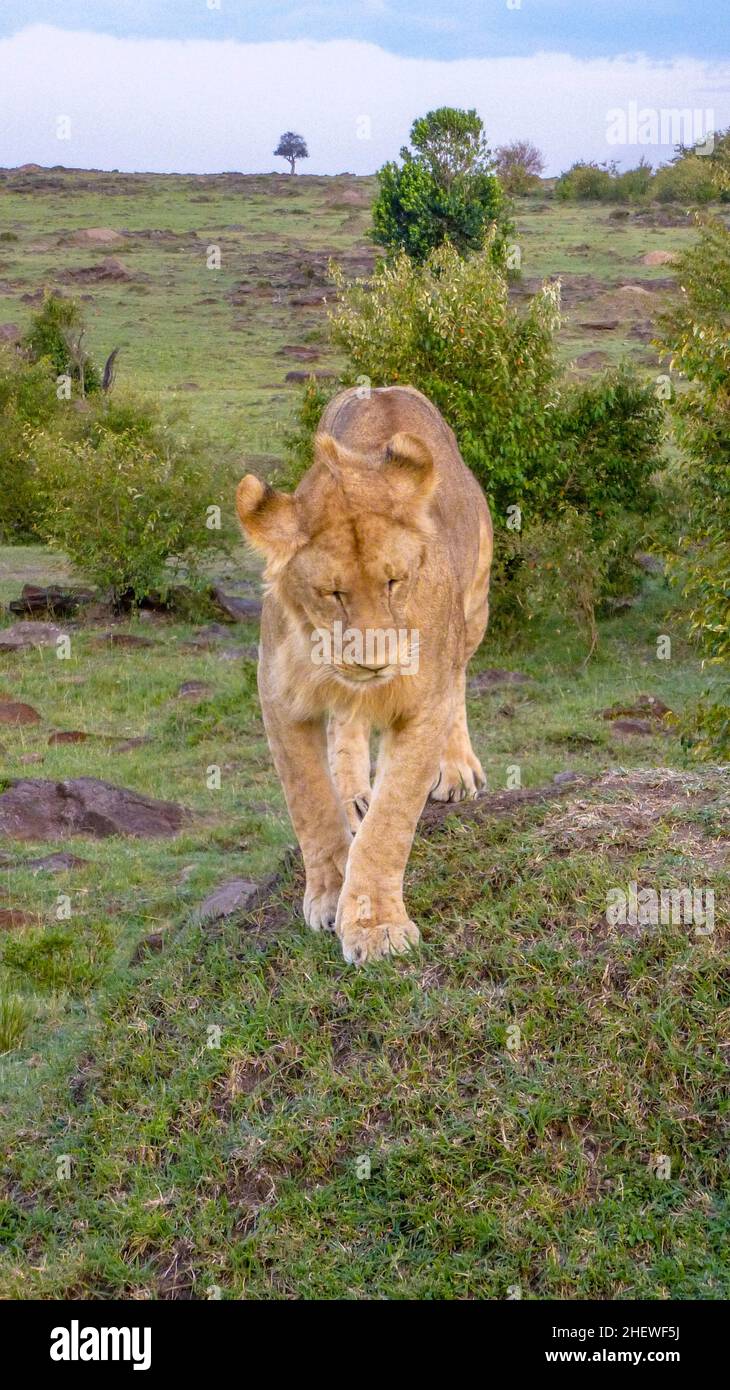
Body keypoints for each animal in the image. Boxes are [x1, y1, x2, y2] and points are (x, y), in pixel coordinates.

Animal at [236, 385, 492, 964]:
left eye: (394, 582)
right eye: (333, 593)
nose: (374, 661)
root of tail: (386, 387)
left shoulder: (424, 703)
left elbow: (391, 821)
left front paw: (376, 926)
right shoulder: (279, 699)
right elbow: (310, 803)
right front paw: (331, 893)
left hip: (476, 604)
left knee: (460, 678)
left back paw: (457, 770)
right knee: (345, 725)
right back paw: (354, 793)